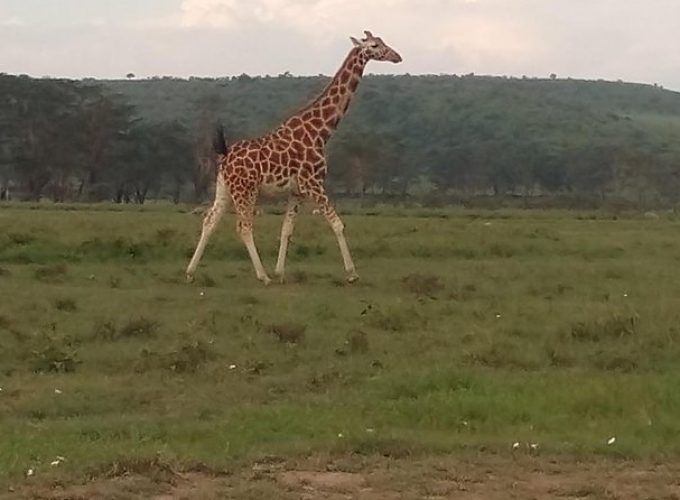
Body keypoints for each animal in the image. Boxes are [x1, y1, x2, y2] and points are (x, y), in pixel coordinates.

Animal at [183, 31, 402, 286]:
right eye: (375, 45)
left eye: (383, 42)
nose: (397, 56)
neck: (321, 131)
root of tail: (224, 155)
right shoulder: (313, 184)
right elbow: (337, 223)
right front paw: (352, 273)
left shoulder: (296, 191)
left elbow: (286, 230)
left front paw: (280, 273)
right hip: (246, 190)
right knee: (244, 227)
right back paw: (262, 276)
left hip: (225, 189)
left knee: (209, 221)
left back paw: (190, 272)